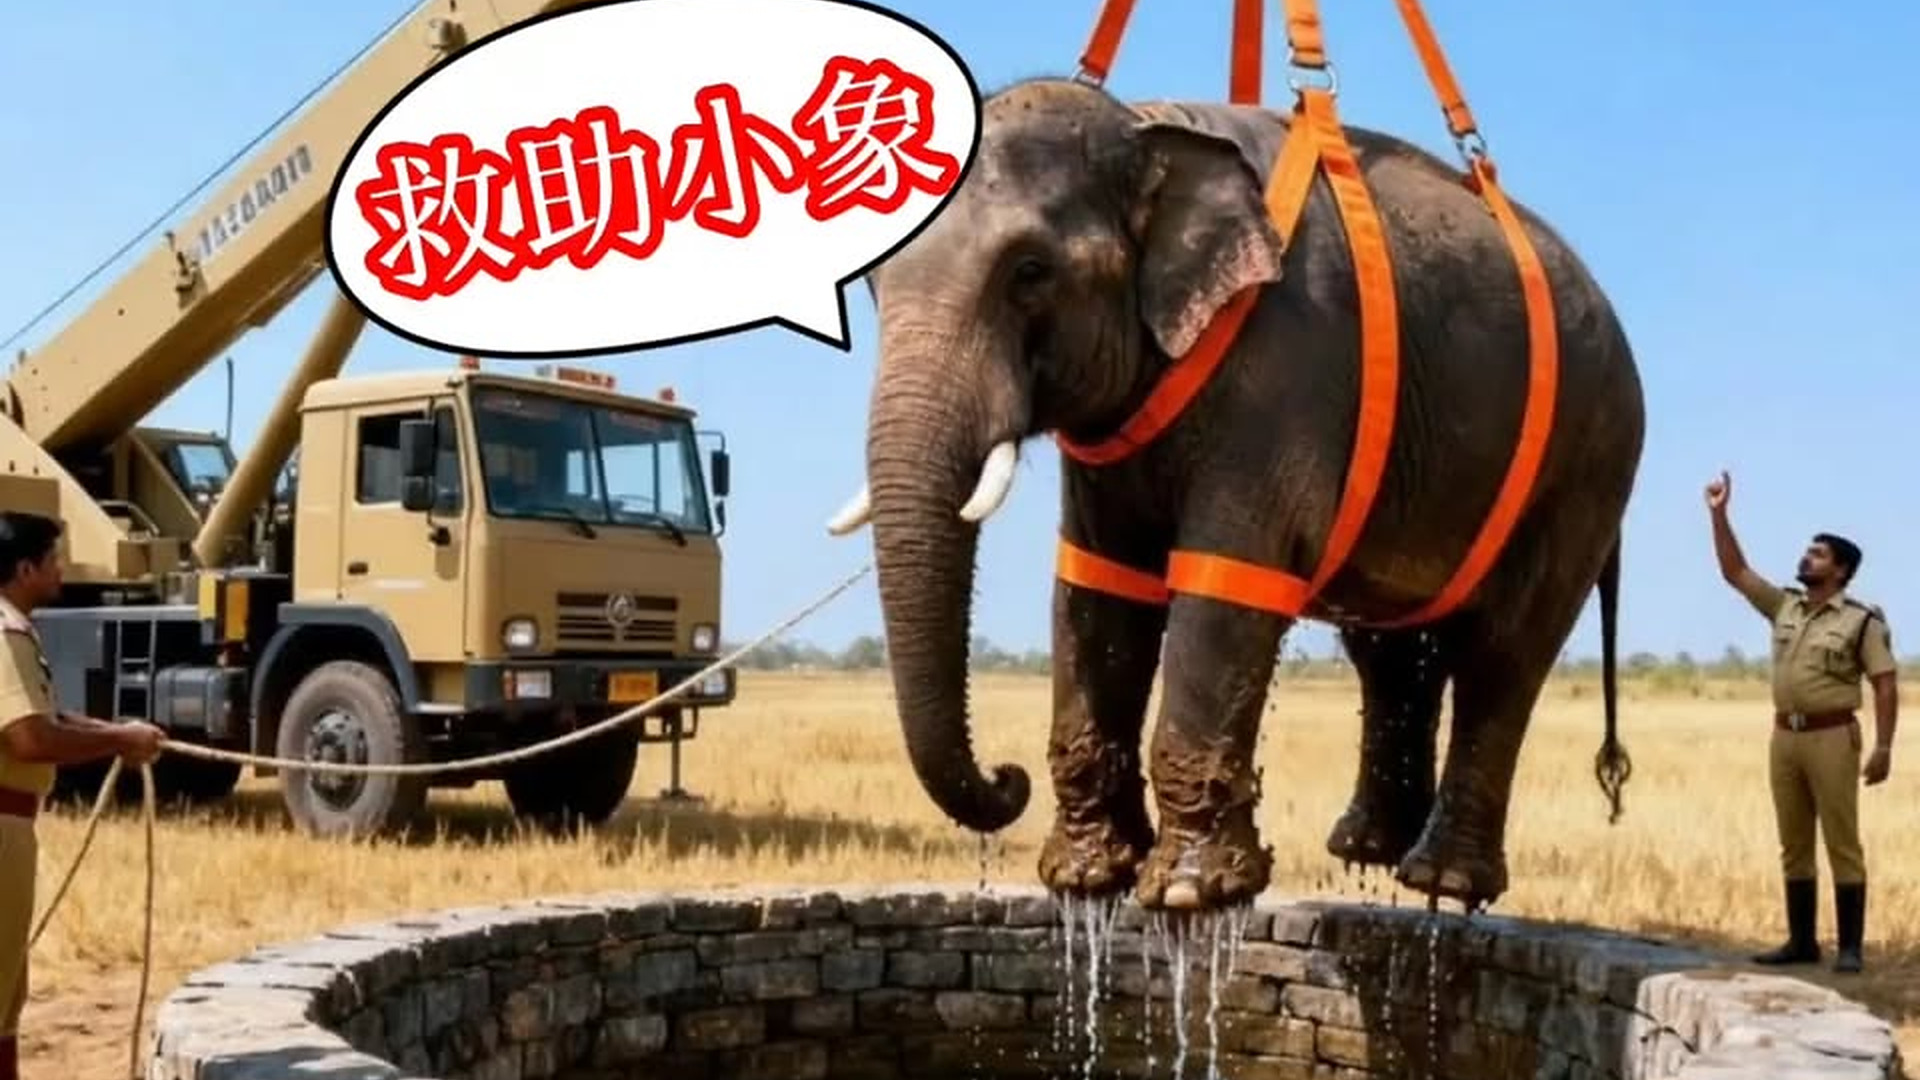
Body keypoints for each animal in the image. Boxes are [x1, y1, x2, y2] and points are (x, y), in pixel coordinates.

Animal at [826, 76, 1644, 912]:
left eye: (1029, 272)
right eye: (871, 284)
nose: (1004, 778)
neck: (1145, 130)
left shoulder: (1286, 362)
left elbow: (1225, 579)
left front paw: (1190, 895)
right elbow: (1098, 588)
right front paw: (1088, 880)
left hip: (1589, 461)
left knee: (1505, 651)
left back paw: (1442, 881)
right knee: (1389, 650)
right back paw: (1366, 850)